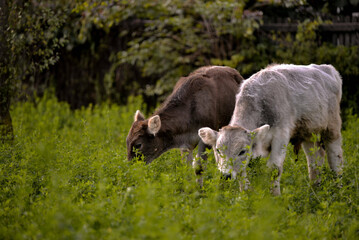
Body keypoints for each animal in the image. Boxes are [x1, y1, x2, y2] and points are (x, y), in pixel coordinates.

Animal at [200, 63, 344, 195]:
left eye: (242, 151)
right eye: (218, 150)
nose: (226, 175)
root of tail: (328, 68)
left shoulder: (281, 136)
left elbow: (274, 170)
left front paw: (275, 197)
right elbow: (243, 173)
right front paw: (244, 197)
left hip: (332, 126)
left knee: (335, 156)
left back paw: (338, 187)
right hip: (309, 133)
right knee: (314, 160)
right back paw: (315, 189)